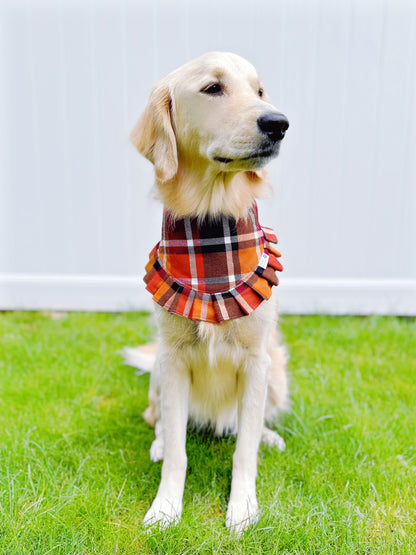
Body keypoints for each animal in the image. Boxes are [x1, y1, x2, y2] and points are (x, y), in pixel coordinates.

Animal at [127, 52, 290, 536]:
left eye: (259, 91)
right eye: (213, 88)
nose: (278, 123)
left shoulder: (257, 361)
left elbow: (244, 450)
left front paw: (243, 509)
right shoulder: (175, 358)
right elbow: (179, 455)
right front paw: (165, 509)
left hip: (277, 372)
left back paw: (269, 436)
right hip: (159, 370)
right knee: (157, 420)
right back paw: (160, 442)